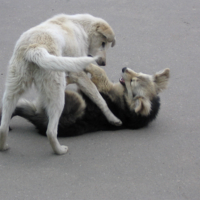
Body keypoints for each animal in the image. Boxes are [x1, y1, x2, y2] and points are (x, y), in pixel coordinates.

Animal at [0, 14, 122, 155]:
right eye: (103, 43)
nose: (103, 63)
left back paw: (3, 146)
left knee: (3, 126)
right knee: (51, 131)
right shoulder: (78, 74)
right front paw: (113, 118)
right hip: (57, 95)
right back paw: (59, 150)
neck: (81, 27)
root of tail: (34, 49)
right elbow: (99, 98)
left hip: (12, 90)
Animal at [2, 65, 169, 137]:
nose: (124, 68)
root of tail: (39, 122)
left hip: (76, 103)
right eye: (138, 74)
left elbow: (99, 71)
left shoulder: (103, 85)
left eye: (134, 81)